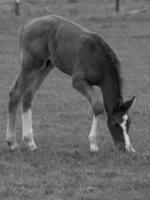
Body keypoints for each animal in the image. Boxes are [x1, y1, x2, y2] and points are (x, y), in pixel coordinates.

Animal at [6, 15, 136, 152]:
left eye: (129, 123)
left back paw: (30, 142)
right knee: (15, 93)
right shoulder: (78, 81)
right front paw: (93, 144)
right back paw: (12, 143)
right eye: (116, 124)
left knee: (28, 96)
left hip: (45, 66)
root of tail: (27, 25)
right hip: (30, 65)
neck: (98, 58)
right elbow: (98, 106)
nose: (126, 148)